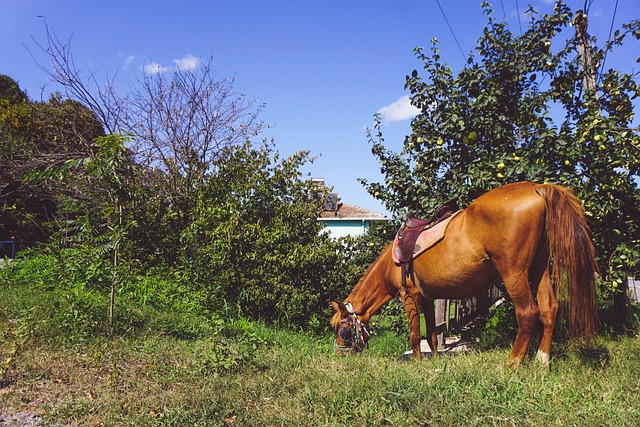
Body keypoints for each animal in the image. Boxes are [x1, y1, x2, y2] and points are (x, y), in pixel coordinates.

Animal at [332, 182, 596, 366]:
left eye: (342, 330)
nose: (341, 355)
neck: (391, 263)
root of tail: (537, 188)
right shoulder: (427, 298)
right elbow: (432, 334)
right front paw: (435, 360)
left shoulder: (409, 296)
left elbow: (415, 334)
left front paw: (417, 363)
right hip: (539, 269)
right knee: (549, 307)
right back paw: (542, 361)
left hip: (514, 273)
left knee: (528, 313)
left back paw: (513, 363)